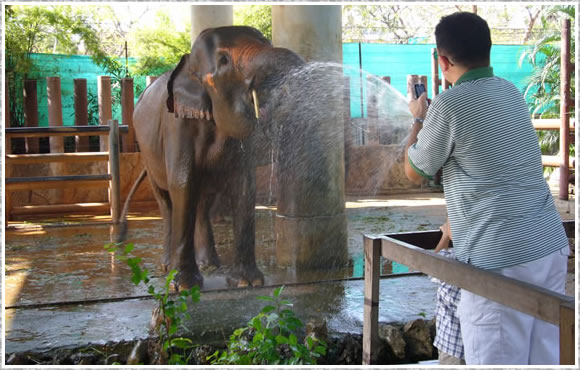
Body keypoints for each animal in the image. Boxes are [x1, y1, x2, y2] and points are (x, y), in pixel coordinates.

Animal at [124, 27, 306, 290]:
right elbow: (182, 183)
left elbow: (243, 186)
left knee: (203, 201)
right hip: (146, 152)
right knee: (166, 201)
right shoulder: (176, 123)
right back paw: (167, 266)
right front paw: (184, 286)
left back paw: (209, 265)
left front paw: (247, 282)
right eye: (224, 61)